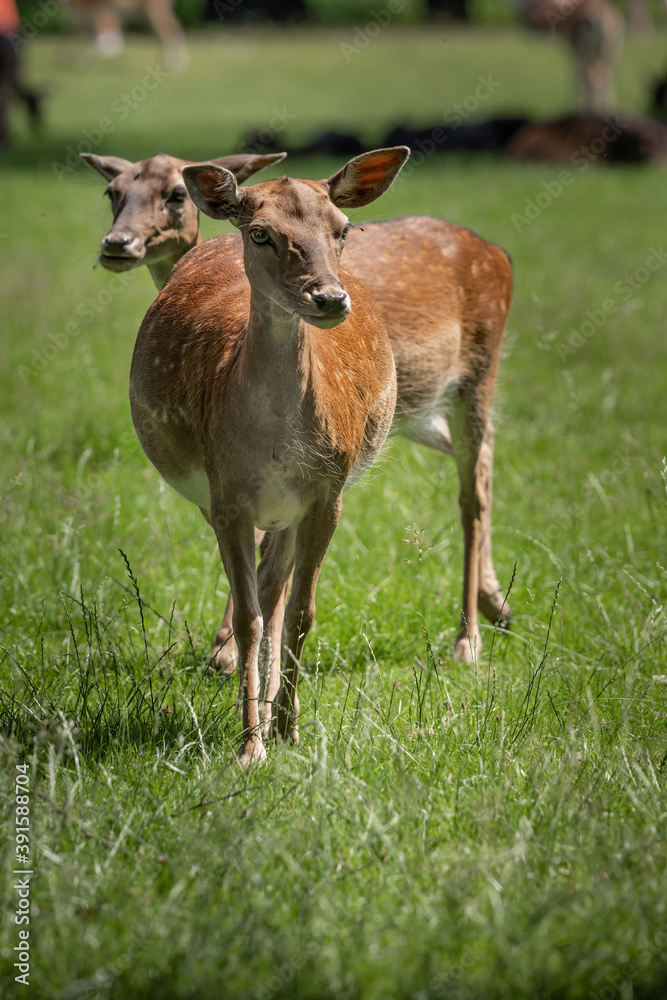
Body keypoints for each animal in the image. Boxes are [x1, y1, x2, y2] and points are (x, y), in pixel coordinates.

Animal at [131, 145, 410, 760]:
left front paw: (289, 730)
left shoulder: (328, 492)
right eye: (261, 233)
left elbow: (302, 612)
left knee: (278, 588)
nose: (328, 298)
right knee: (263, 595)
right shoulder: (226, 496)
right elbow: (249, 618)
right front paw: (249, 747)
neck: (276, 445)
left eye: (342, 229)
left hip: (292, 507)